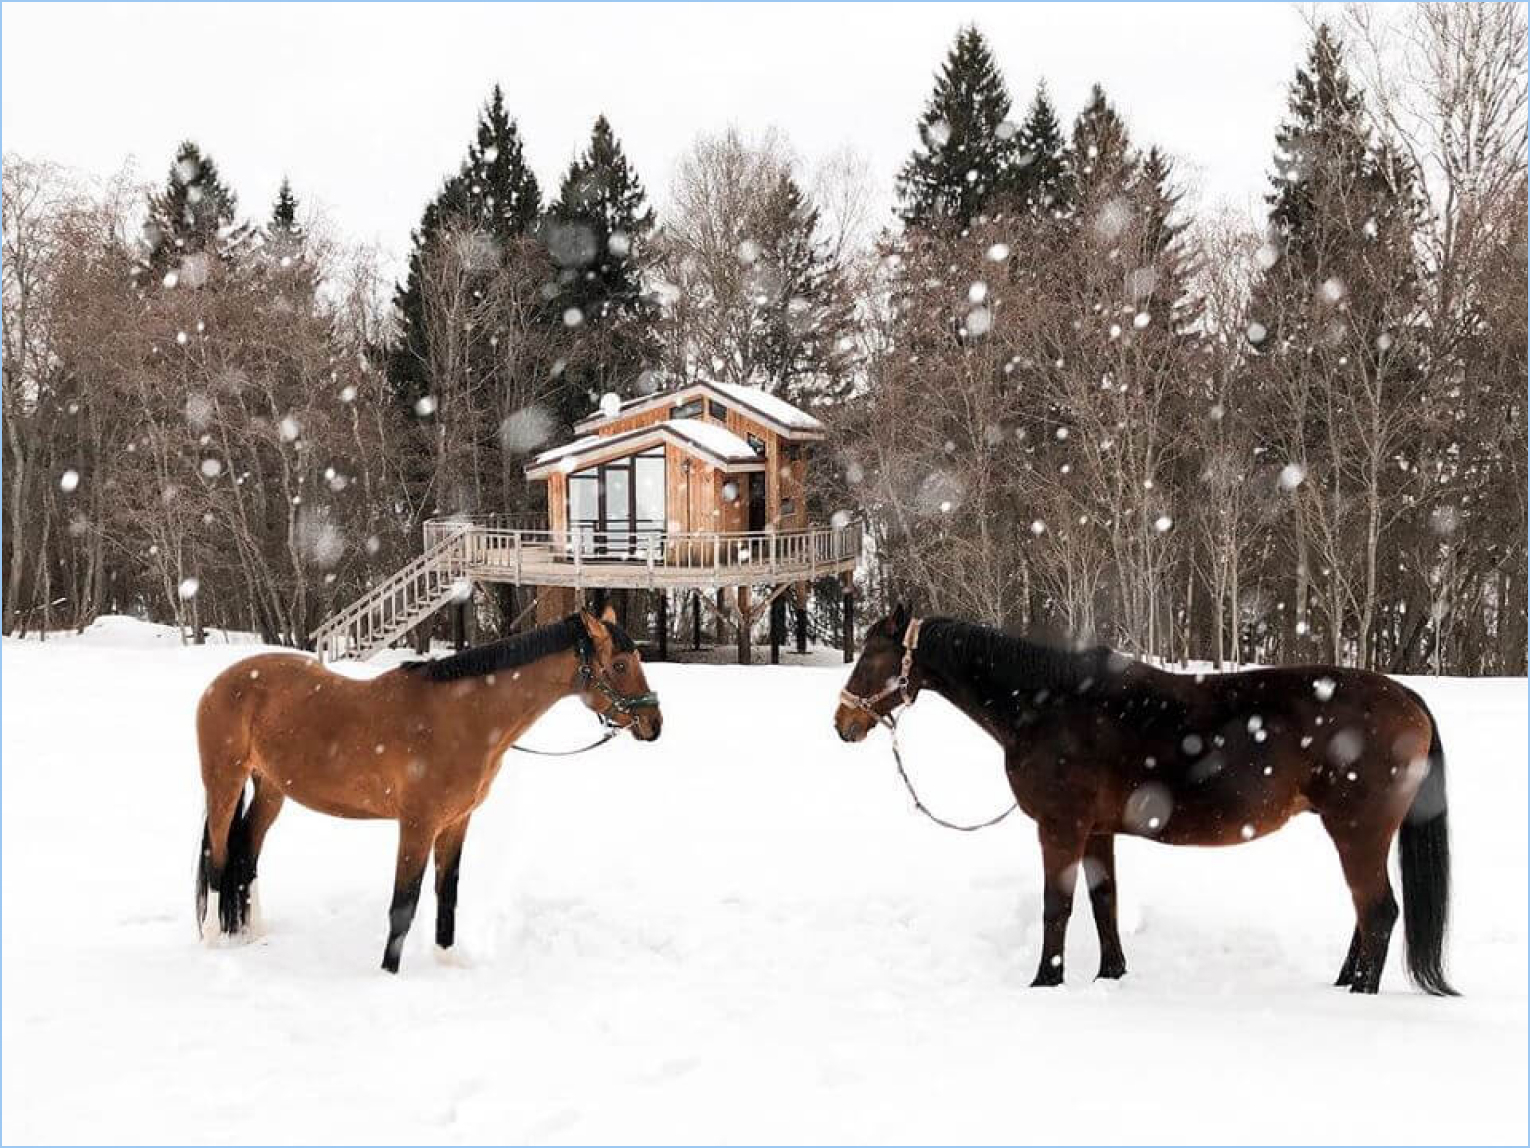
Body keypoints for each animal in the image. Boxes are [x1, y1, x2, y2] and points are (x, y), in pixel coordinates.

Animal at [195, 606, 657, 973]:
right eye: (619, 664)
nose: (655, 723)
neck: (465, 715)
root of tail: (221, 683)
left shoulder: (456, 822)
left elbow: (446, 893)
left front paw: (449, 960)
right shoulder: (417, 824)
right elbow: (405, 902)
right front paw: (388, 974)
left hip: (272, 788)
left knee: (248, 852)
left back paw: (255, 933)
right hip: (224, 782)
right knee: (219, 854)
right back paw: (213, 940)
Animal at [838, 612, 1456, 997]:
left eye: (870, 658)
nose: (842, 722)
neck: (1048, 705)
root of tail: (1408, 696)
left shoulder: (1060, 828)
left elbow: (1057, 906)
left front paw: (1045, 981)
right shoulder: (1097, 831)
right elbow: (1103, 902)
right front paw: (1111, 975)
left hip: (1358, 829)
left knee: (1378, 911)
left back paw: (1360, 994)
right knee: (1365, 911)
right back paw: (1345, 982)